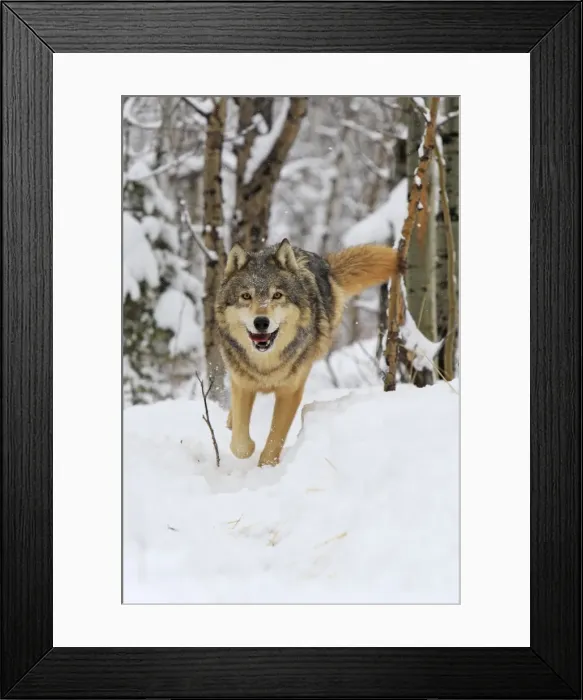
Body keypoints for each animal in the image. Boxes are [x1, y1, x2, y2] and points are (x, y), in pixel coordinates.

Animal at [215, 239, 402, 467]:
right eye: (246, 296)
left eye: (277, 295)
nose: (261, 322)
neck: (266, 365)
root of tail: (323, 263)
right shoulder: (243, 384)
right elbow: (240, 446)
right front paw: (248, 446)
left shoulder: (290, 392)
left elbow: (275, 438)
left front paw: (266, 467)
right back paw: (230, 420)